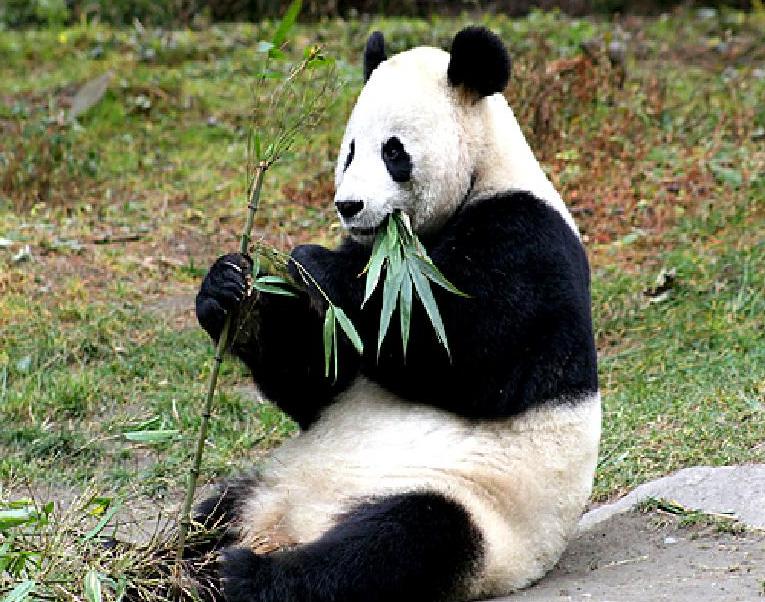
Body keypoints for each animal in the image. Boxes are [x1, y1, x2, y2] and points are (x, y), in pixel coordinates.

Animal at [193, 26, 600, 602]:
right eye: (348, 152)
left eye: (393, 152)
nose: (349, 206)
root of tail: (290, 525)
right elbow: (318, 377)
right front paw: (232, 289)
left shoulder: (528, 240)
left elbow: (461, 351)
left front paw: (316, 264)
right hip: (269, 481)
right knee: (215, 509)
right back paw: (156, 558)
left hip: (476, 510)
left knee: (399, 540)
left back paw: (245, 577)